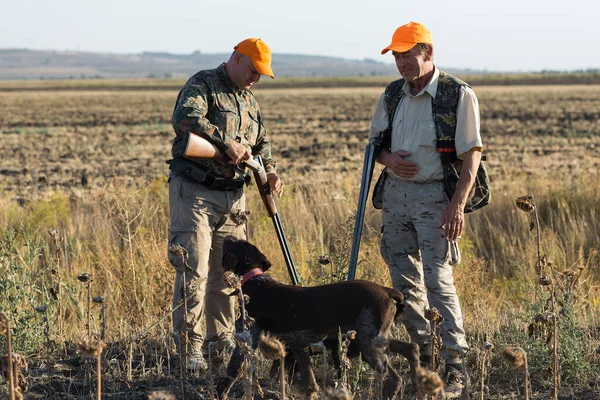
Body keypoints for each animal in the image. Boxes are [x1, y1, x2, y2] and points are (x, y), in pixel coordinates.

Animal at [218, 238, 420, 400]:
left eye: (234, 243)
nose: (226, 237)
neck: (255, 282)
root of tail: (386, 291)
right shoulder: (298, 349)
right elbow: (309, 384)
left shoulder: (246, 341)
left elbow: (229, 374)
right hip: (373, 338)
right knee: (411, 348)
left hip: (368, 342)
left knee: (394, 379)